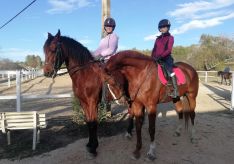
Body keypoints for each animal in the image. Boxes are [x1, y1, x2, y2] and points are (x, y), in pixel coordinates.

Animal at [43, 29, 103, 158]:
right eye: (44, 50)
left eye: (53, 49)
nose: (47, 72)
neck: (85, 73)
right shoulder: (83, 102)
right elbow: (88, 122)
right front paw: (90, 144)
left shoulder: (92, 102)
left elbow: (93, 123)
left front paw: (94, 149)